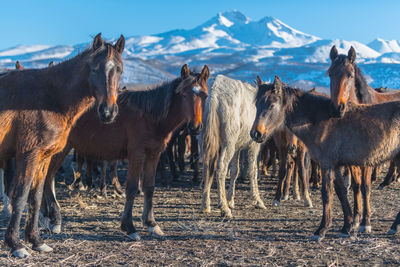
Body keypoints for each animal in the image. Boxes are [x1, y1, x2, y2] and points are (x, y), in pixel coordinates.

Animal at [0, 32, 125, 258]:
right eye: (95, 68)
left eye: (119, 69)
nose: (108, 112)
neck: (50, 96)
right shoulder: (28, 155)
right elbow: (21, 195)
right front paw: (15, 244)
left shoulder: (43, 157)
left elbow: (36, 196)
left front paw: (36, 240)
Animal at [41, 64, 211, 241]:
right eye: (184, 95)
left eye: (205, 95)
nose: (195, 127)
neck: (150, 116)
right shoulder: (137, 154)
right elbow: (132, 187)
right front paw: (129, 227)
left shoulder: (154, 154)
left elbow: (149, 186)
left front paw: (151, 224)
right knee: (47, 178)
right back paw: (55, 220)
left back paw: (46, 217)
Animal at [200, 74, 266, 219]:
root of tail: (215, 93)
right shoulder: (253, 145)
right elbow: (253, 170)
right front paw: (258, 201)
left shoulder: (237, 147)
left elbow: (235, 170)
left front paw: (231, 200)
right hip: (228, 142)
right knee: (221, 168)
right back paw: (224, 208)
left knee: (207, 167)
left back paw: (206, 205)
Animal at [250, 76, 400, 243]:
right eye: (257, 105)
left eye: (271, 105)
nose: (256, 133)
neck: (318, 119)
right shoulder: (335, 166)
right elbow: (341, 193)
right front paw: (347, 227)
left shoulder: (326, 165)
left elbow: (327, 194)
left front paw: (321, 230)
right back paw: (394, 226)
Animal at [328, 45, 400, 233]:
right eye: (330, 73)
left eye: (350, 74)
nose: (337, 108)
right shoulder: (352, 159)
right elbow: (356, 186)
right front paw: (355, 219)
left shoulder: (368, 159)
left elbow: (365, 187)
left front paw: (365, 221)